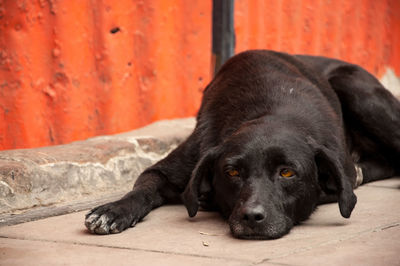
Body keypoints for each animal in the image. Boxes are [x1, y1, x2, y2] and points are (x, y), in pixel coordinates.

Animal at [85, 49, 400, 239]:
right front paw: (113, 210)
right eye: (232, 172)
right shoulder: (168, 168)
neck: (270, 111)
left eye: (287, 172)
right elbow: (142, 189)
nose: (252, 216)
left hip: (357, 89)